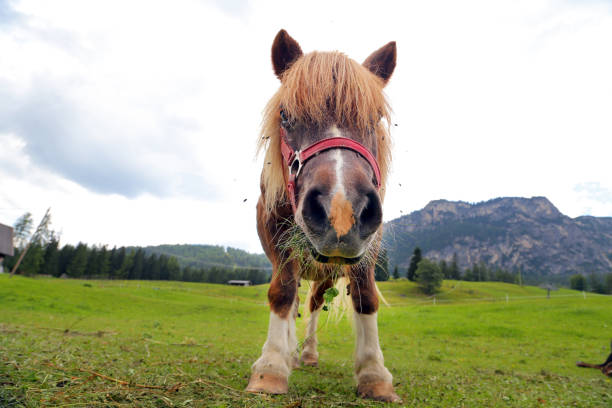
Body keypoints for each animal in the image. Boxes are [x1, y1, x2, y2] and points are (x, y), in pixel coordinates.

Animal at [246, 29, 400, 402]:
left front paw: (374, 373)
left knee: (315, 302)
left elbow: (365, 296)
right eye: (286, 115)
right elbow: (282, 293)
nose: (341, 210)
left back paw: (309, 353)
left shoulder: (366, 245)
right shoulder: (280, 239)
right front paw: (271, 366)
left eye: (375, 117)